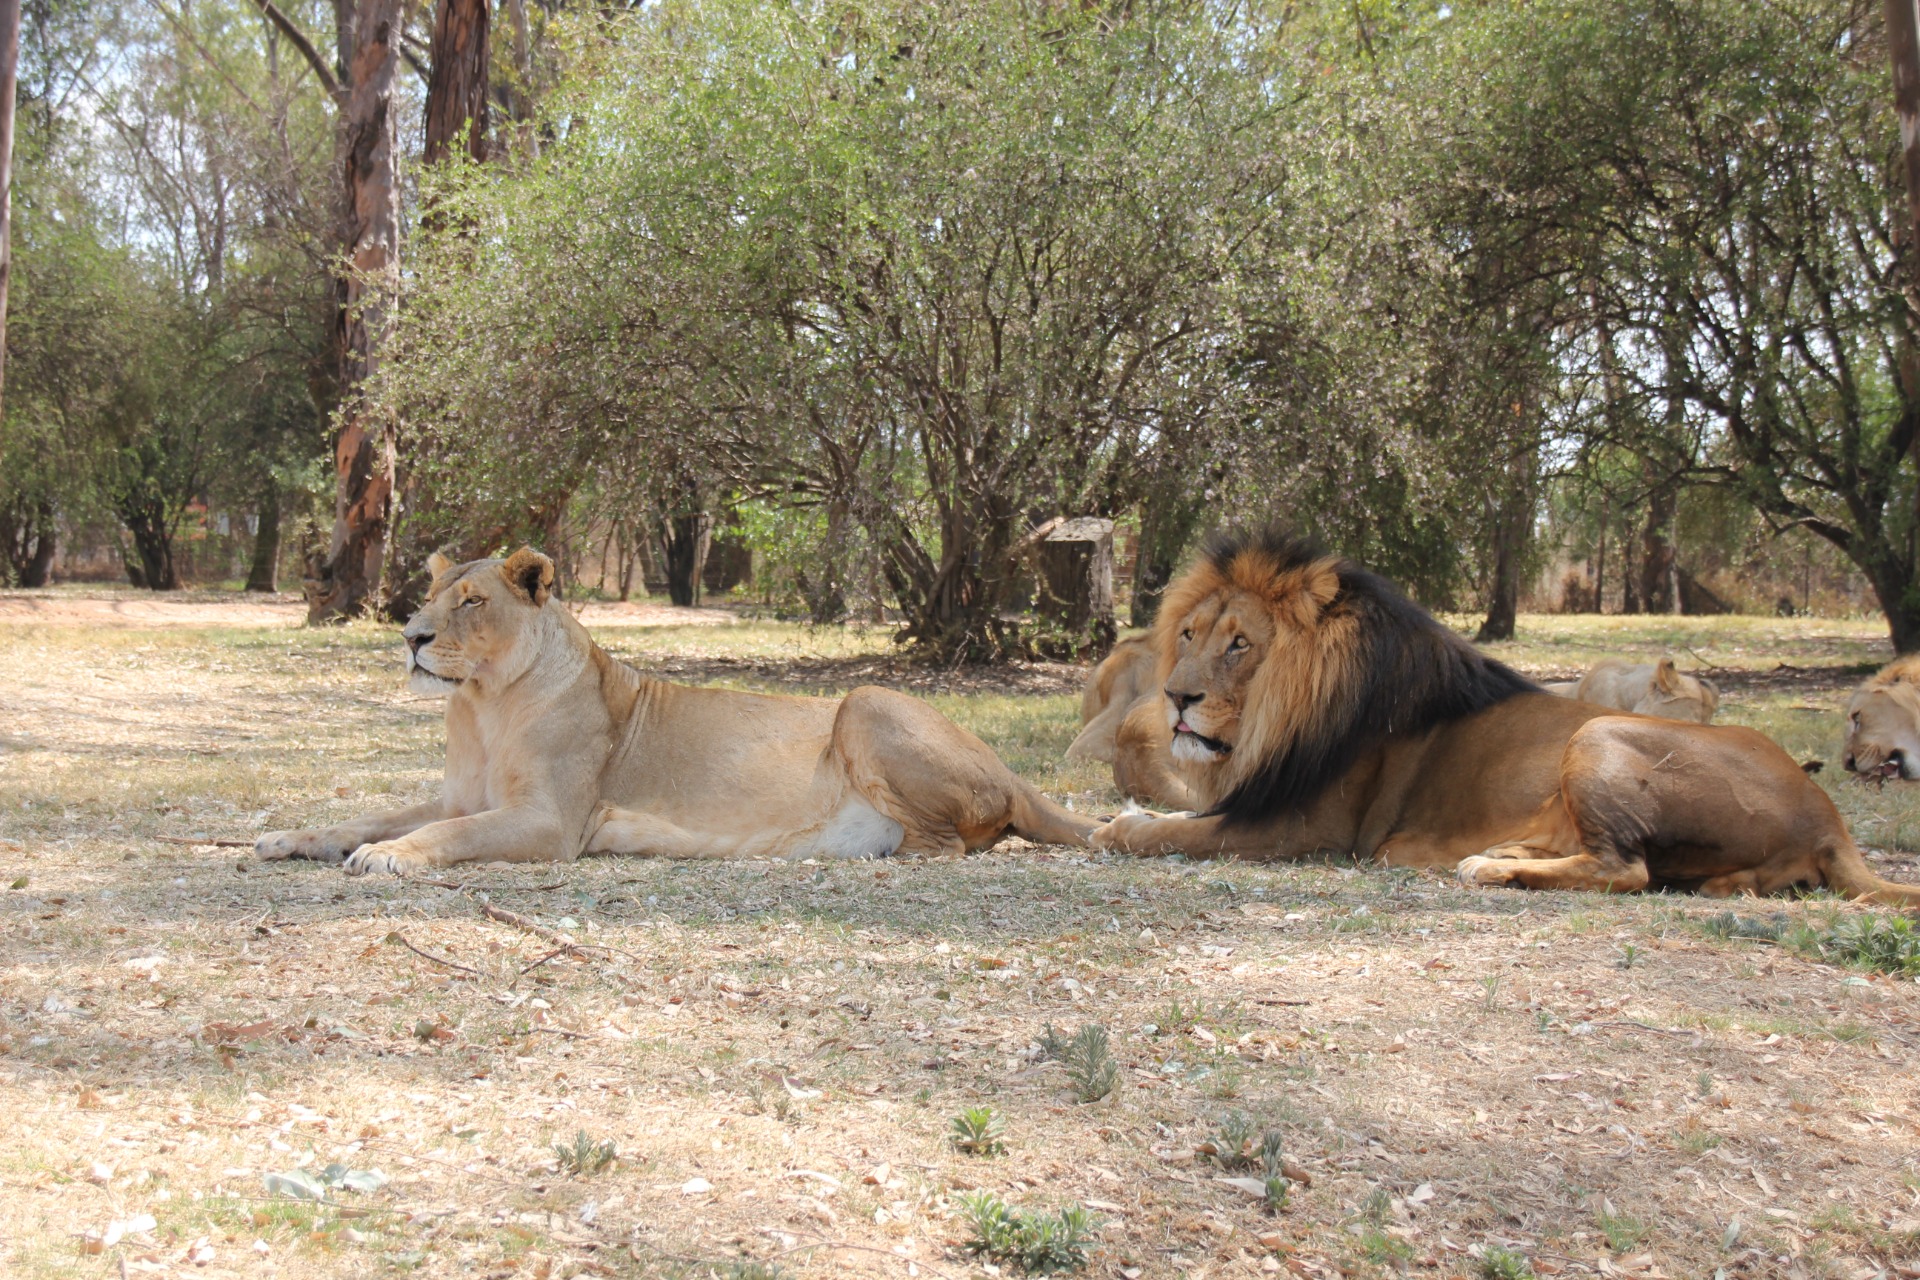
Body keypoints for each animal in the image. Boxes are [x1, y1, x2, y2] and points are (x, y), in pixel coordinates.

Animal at [256, 548, 1096, 875]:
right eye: (430, 595)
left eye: (471, 602)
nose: (411, 637)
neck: (482, 706)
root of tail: (1009, 768)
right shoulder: (461, 793)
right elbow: (367, 813)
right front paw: (290, 837)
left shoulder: (552, 822)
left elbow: (447, 835)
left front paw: (390, 855)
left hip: (865, 701)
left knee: (949, 843)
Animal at [1090, 528, 1920, 903]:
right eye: (1189, 635)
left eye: (1240, 645)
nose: (1176, 698)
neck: (1273, 722)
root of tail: (1828, 815)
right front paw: (1119, 810)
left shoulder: (1297, 827)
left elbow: (1165, 833)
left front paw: (1121, 827)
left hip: (1596, 732)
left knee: (1627, 870)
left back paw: (1488, 865)